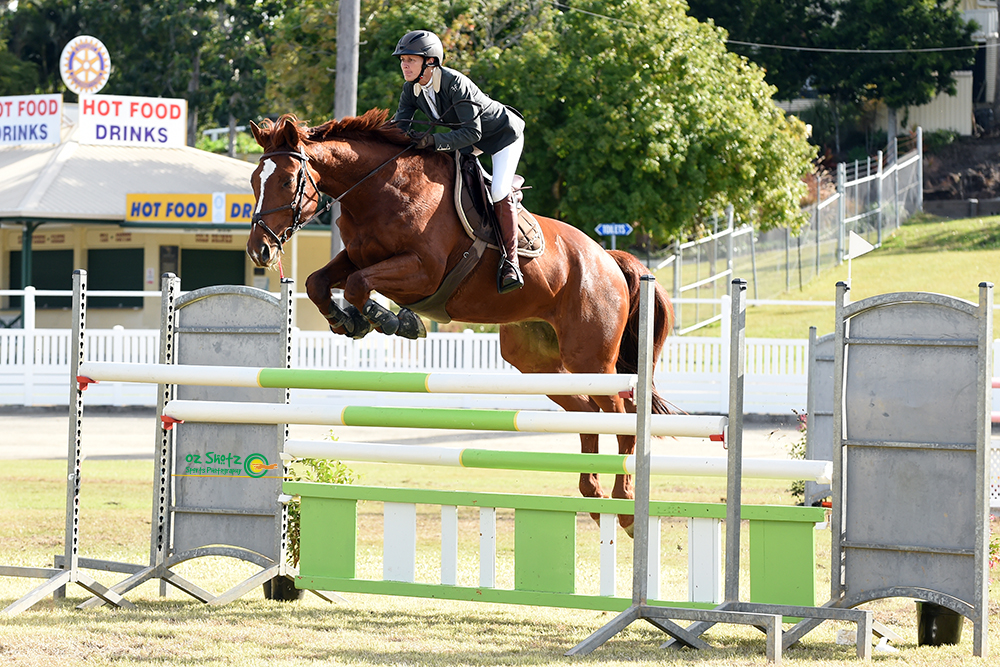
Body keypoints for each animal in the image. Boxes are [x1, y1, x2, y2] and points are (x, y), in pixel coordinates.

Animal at [246, 109, 676, 528]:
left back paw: (624, 504)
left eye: (287, 180)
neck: (379, 191)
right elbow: (319, 282)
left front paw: (392, 321)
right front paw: (347, 321)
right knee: (587, 411)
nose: (260, 250)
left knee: (620, 414)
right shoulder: (356, 256)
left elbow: (357, 284)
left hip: (591, 357)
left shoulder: (422, 270)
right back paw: (593, 493)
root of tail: (609, 259)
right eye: (253, 180)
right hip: (537, 362)